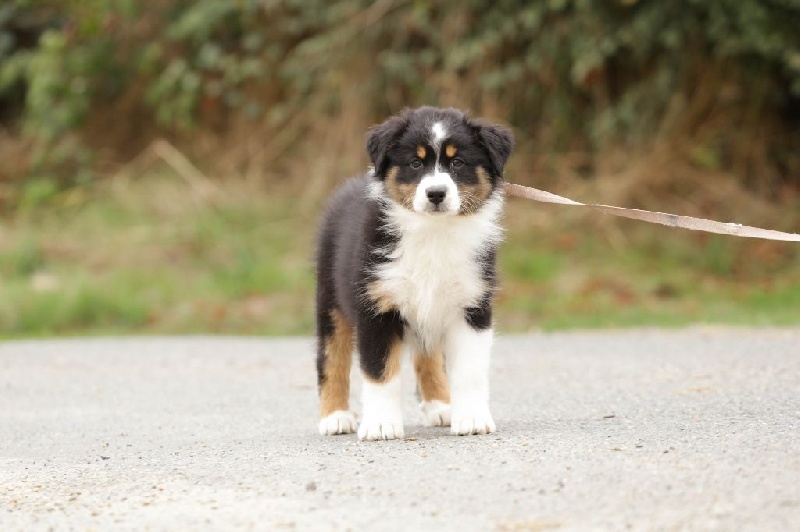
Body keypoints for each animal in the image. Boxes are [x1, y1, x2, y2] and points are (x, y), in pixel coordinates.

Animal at [312, 105, 512, 440]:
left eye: (458, 163)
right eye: (416, 163)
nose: (436, 193)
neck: (432, 232)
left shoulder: (472, 306)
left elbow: (469, 371)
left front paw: (471, 419)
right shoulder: (377, 306)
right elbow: (379, 372)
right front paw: (380, 424)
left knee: (426, 355)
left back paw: (440, 406)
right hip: (331, 299)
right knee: (331, 357)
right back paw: (335, 417)